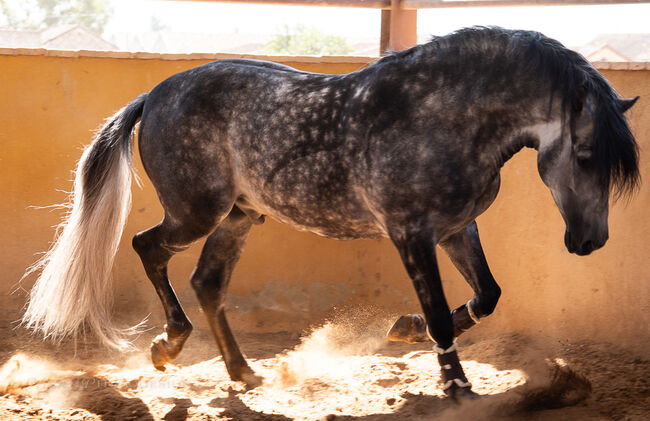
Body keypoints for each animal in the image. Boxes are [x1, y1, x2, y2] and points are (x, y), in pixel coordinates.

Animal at [21, 27, 636, 398]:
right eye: (585, 153)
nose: (590, 242)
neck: (443, 117)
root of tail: (153, 96)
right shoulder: (410, 233)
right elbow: (440, 312)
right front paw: (456, 388)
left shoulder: (457, 227)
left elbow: (487, 296)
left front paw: (404, 330)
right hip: (198, 212)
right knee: (148, 247)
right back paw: (168, 345)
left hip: (240, 216)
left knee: (208, 282)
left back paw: (244, 373)